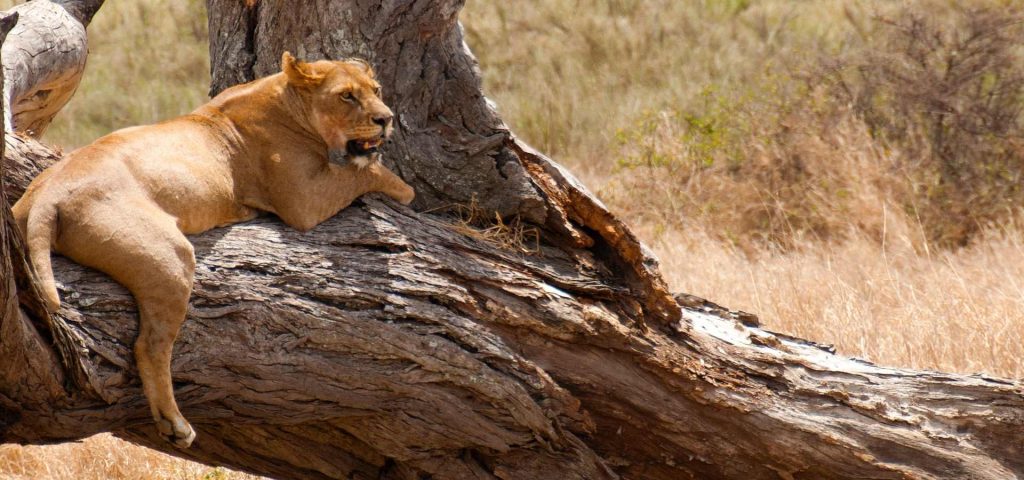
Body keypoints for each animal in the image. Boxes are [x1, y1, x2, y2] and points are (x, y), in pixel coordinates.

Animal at [12, 52, 415, 448]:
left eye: (376, 89)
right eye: (346, 96)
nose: (386, 119)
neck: (283, 96)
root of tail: (48, 194)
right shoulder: (302, 201)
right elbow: (366, 171)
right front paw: (407, 189)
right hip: (170, 255)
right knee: (150, 345)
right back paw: (175, 425)